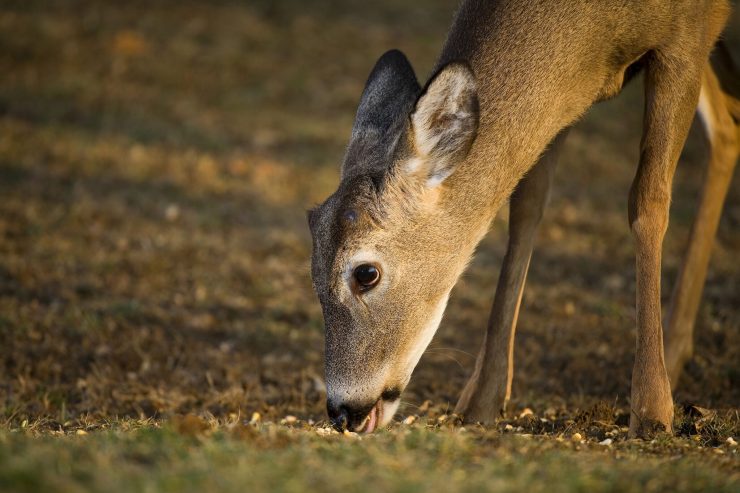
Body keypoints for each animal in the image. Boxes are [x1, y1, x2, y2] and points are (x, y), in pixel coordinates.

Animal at [308, 0, 740, 438]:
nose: (344, 411)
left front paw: (652, 411)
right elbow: (527, 206)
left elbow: (647, 201)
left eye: (366, 273)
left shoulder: (684, 38)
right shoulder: (568, 93)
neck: (603, 32)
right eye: (313, 274)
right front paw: (481, 401)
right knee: (728, 123)